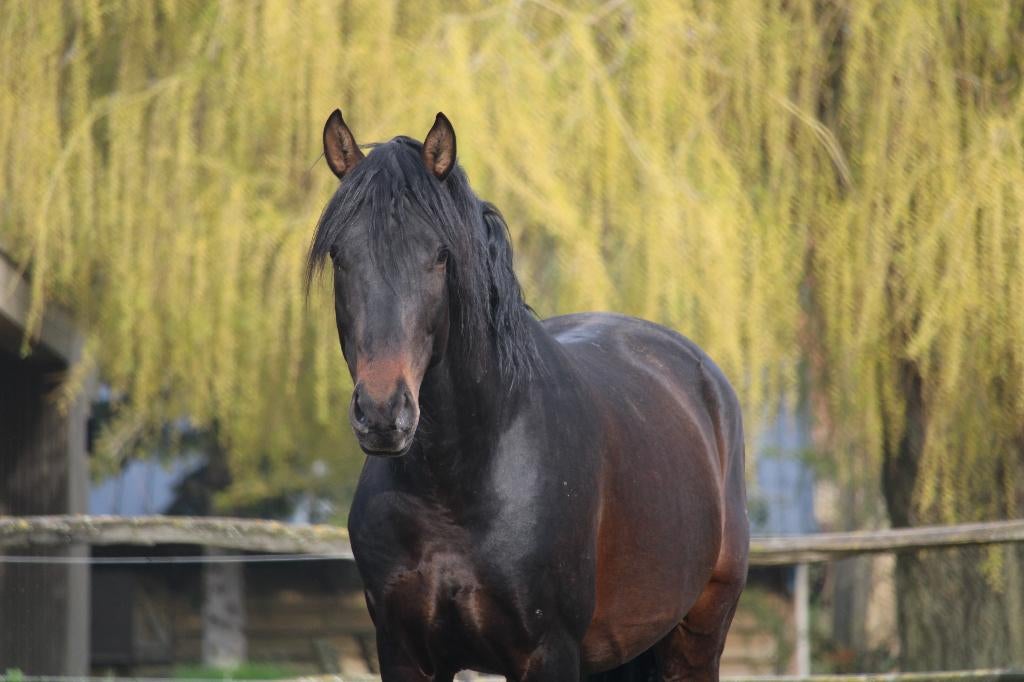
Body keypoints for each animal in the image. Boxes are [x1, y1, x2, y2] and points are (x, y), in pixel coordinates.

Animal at [307, 109, 749, 681]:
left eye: (440, 256)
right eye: (340, 254)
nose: (383, 413)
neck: (456, 485)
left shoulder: (548, 653)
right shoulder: (404, 654)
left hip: (697, 637)